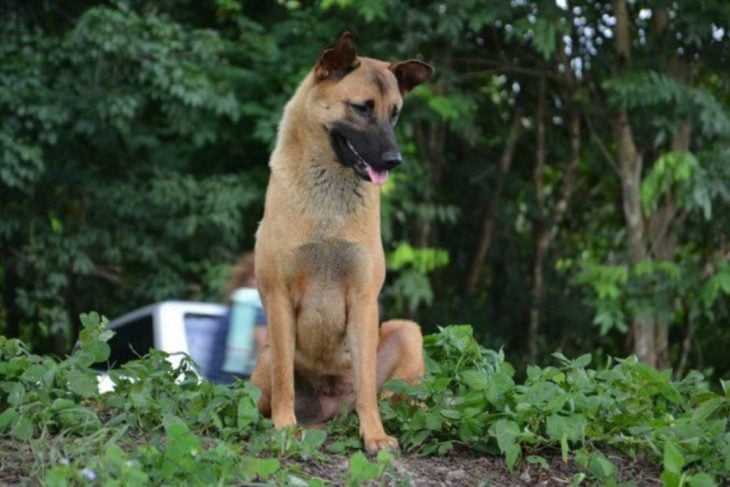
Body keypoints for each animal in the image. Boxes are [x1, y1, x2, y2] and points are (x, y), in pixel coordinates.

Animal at [250, 33, 432, 454]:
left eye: (394, 114)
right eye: (362, 108)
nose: (394, 160)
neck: (328, 207)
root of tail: (332, 406)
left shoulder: (364, 299)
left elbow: (366, 388)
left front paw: (375, 435)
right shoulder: (278, 296)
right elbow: (285, 382)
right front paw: (286, 429)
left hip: (407, 333)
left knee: (399, 398)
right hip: (264, 358)